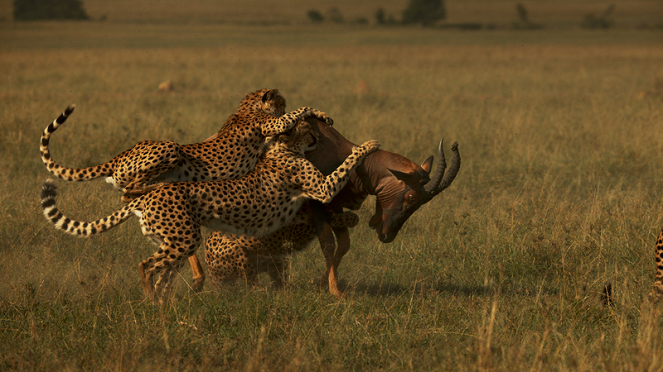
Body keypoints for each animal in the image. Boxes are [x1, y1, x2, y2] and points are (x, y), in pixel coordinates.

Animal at [39, 88, 334, 202]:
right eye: (281, 101)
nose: (282, 103)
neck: (247, 108)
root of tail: (124, 152)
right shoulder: (271, 126)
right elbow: (297, 112)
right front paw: (317, 113)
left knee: (126, 192)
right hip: (170, 147)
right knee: (129, 189)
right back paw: (162, 183)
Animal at [209, 209, 364, 288]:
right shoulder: (298, 231)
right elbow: (329, 219)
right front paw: (351, 217)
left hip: (277, 260)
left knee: (279, 282)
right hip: (236, 251)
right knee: (254, 285)